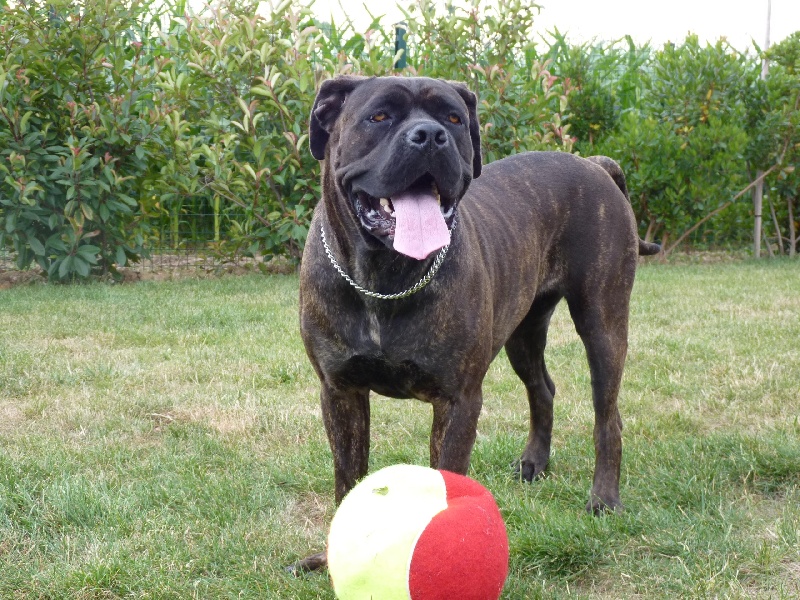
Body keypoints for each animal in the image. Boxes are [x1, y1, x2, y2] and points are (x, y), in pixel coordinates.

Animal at [294, 76, 656, 572]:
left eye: (453, 118)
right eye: (379, 116)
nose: (429, 135)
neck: (385, 277)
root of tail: (593, 164)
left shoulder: (458, 400)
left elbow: (446, 479)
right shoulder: (340, 392)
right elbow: (347, 478)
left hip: (602, 323)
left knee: (608, 415)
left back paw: (603, 498)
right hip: (524, 332)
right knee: (542, 388)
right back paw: (533, 464)